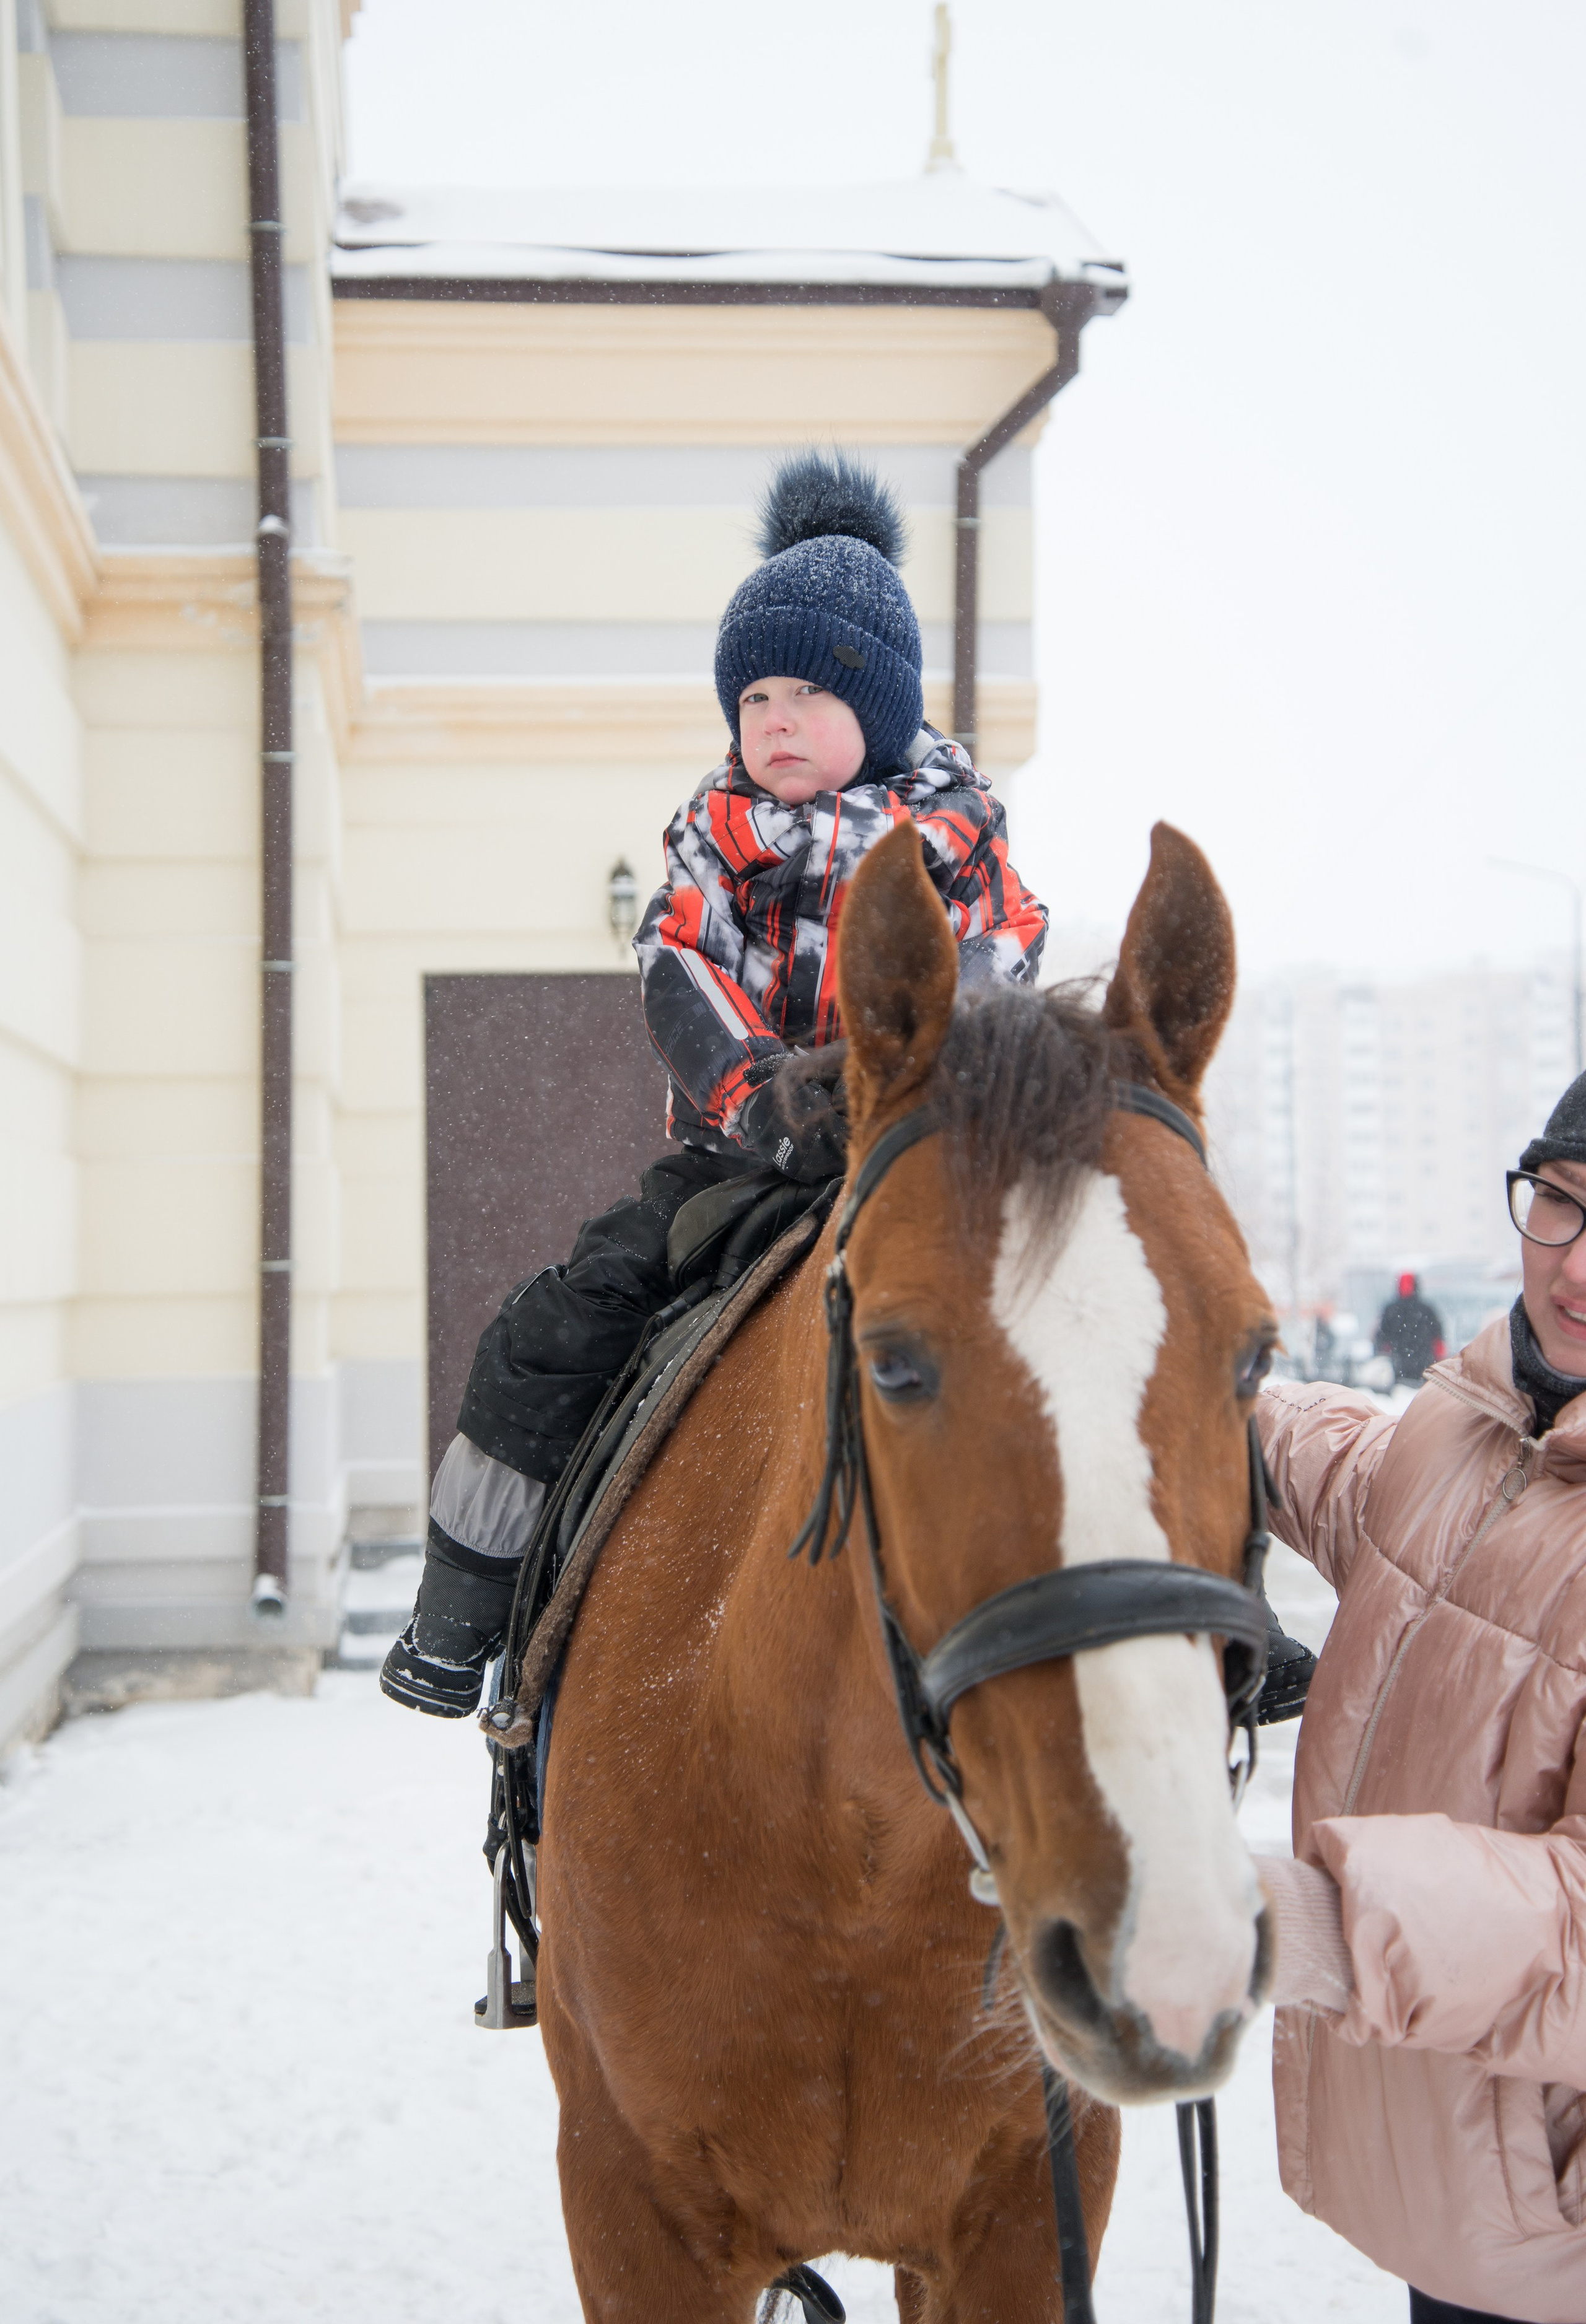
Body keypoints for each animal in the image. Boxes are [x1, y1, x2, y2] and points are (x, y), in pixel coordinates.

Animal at [534, 819, 1279, 2322]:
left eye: (1253, 1353)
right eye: (891, 1361)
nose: (1166, 1941)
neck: (846, 1843)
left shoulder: (1023, 2212)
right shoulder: (629, 2209)